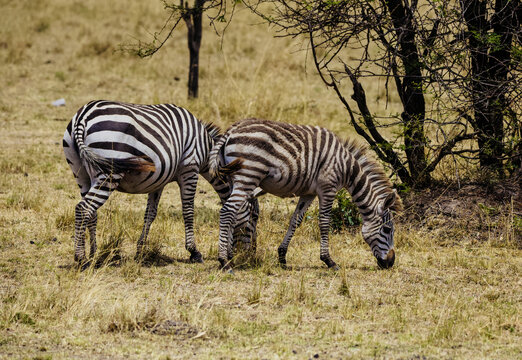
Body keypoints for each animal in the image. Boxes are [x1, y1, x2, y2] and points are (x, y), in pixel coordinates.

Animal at [63, 100, 258, 268]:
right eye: (254, 216)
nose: (251, 256)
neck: (205, 149)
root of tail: (83, 116)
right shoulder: (190, 168)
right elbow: (188, 211)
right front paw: (194, 252)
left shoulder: (158, 181)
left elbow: (150, 214)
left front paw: (140, 250)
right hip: (109, 172)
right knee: (83, 209)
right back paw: (81, 259)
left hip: (81, 174)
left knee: (91, 213)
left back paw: (92, 254)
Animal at [208, 118, 402, 270]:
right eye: (387, 229)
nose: (390, 262)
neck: (346, 167)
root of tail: (232, 129)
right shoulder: (328, 188)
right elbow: (324, 223)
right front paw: (328, 261)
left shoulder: (308, 193)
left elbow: (295, 221)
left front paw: (282, 256)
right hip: (248, 174)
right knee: (227, 211)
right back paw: (224, 261)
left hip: (235, 178)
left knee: (234, 212)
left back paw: (230, 257)